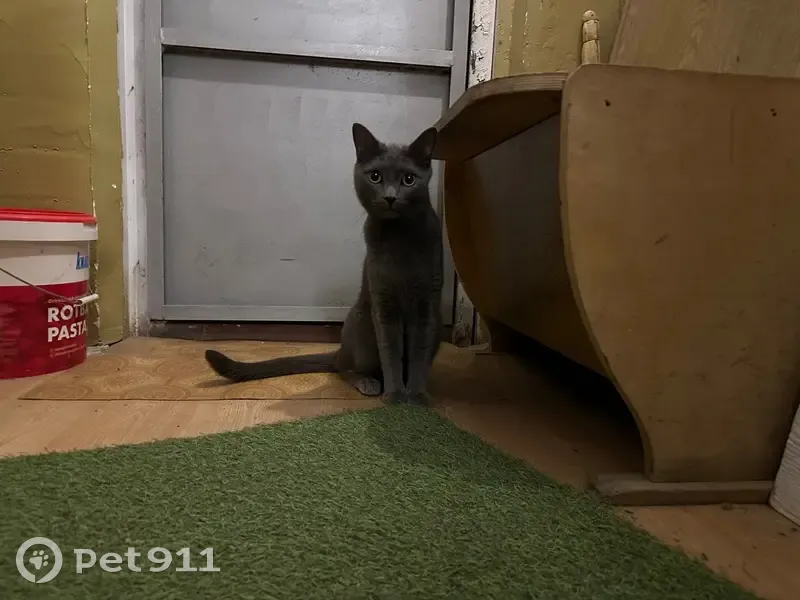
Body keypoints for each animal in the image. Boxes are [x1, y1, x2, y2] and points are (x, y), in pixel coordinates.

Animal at [204, 123, 443, 406]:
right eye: (375, 177)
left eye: (408, 179)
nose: (390, 197)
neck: (400, 237)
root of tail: (340, 349)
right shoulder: (383, 301)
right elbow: (391, 353)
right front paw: (395, 396)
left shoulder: (427, 303)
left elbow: (419, 353)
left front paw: (417, 396)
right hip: (362, 324)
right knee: (344, 368)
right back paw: (369, 382)